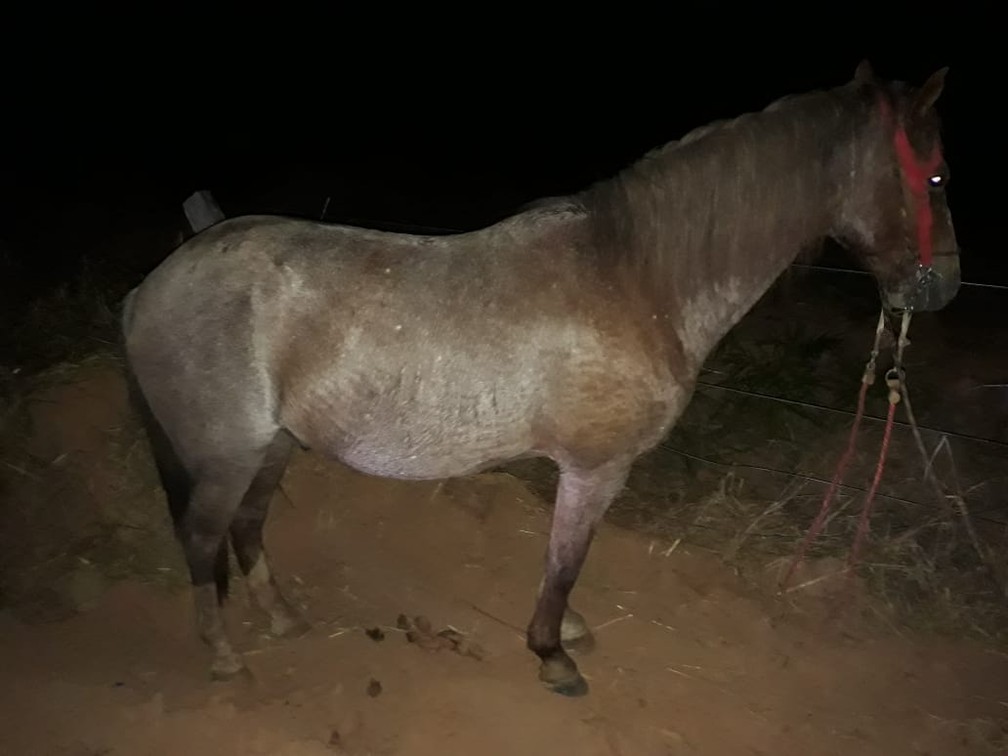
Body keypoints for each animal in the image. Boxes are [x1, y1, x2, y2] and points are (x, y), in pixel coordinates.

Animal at [119, 62, 959, 701]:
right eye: (938, 176)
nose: (942, 286)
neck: (637, 278)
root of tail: (147, 291)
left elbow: (565, 555)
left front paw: (568, 633)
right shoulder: (598, 466)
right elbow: (566, 559)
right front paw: (554, 653)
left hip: (276, 445)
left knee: (247, 526)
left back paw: (284, 618)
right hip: (230, 453)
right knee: (202, 535)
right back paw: (225, 654)